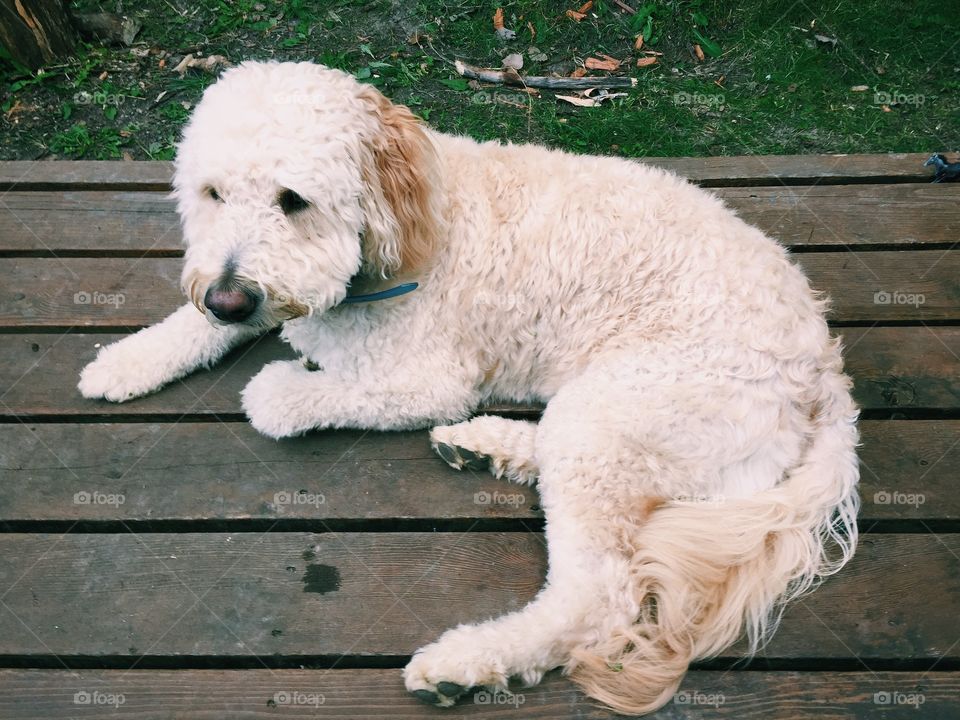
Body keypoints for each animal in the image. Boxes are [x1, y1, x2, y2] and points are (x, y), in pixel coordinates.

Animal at [80, 62, 864, 716]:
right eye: (211, 193)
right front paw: (128, 359)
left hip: (622, 408)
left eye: (293, 200)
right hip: (613, 422)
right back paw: (488, 445)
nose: (229, 297)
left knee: (596, 599)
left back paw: (469, 660)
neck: (411, 217)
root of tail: (823, 369)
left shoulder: (428, 380)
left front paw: (280, 384)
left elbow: (284, 395)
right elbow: (204, 325)